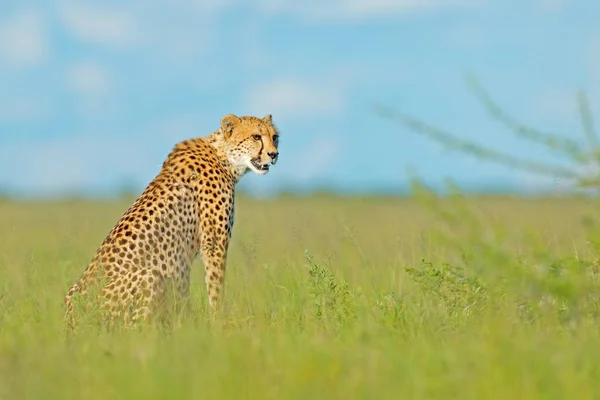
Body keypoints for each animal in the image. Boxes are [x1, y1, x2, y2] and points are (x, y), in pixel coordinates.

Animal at [64, 114, 280, 330]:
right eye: (256, 136)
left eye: (275, 137)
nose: (274, 154)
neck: (224, 156)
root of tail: (71, 319)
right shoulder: (213, 243)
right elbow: (215, 286)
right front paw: (218, 322)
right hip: (148, 278)